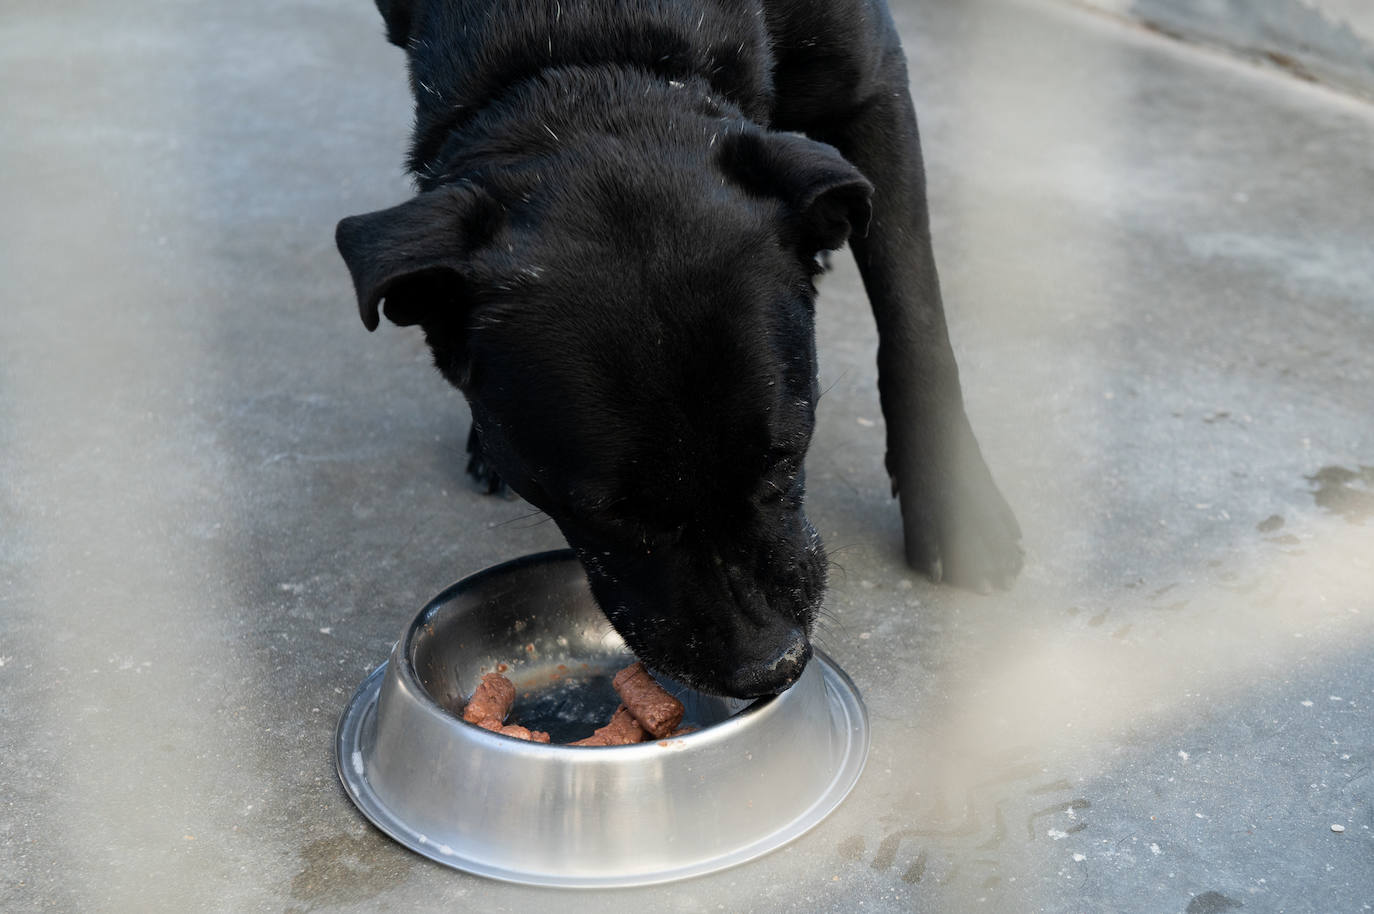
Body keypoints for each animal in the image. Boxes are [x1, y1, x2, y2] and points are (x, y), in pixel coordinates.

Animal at [332, 0, 1022, 692]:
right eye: (610, 515)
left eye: (787, 456)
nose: (771, 663)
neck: (589, 47)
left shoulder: (875, 83)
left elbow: (912, 307)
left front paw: (957, 506)